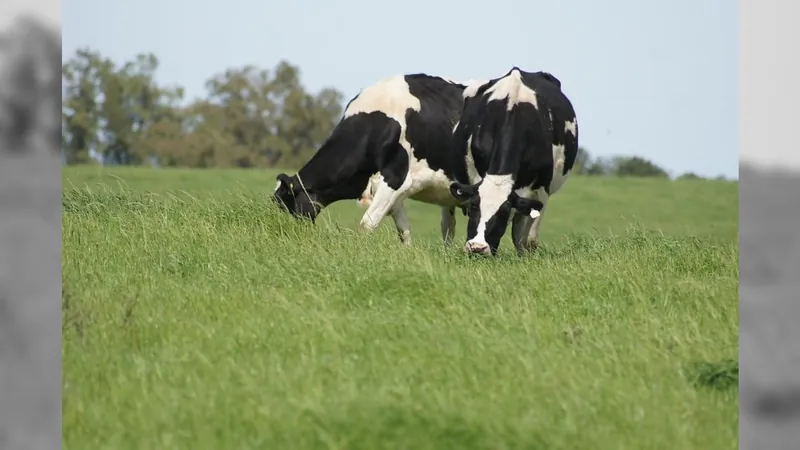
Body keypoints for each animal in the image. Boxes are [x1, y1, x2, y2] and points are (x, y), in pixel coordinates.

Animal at [270, 73, 482, 246]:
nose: (284, 233)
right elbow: (404, 230)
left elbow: (367, 224)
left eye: (286, 205)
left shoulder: (395, 179)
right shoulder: (394, 190)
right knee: (448, 226)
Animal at [446, 67, 580, 256]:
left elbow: (527, 240)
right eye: (473, 207)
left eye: (503, 214)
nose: (477, 247)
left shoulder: (541, 192)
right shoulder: (476, 178)